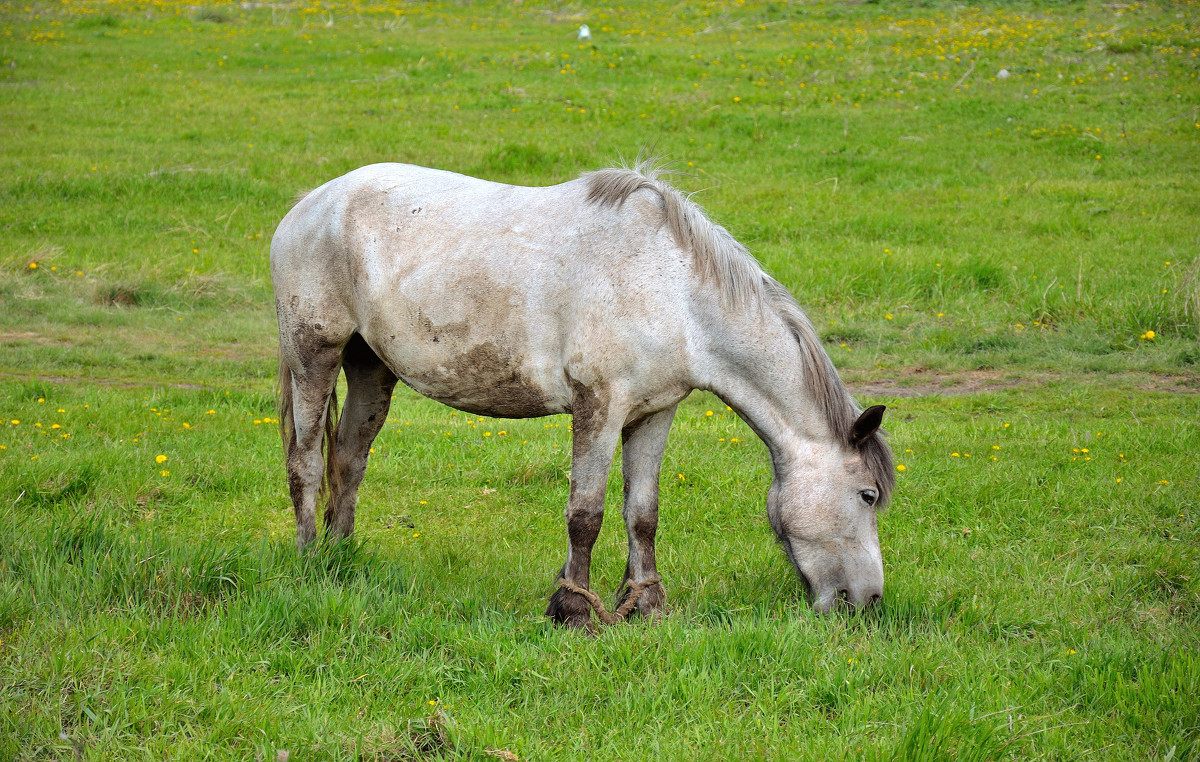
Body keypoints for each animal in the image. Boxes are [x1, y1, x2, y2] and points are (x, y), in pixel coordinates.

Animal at [272, 159, 892, 624]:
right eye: (867, 495)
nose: (866, 602)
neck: (673, 291)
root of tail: (309, 205)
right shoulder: (599, 407)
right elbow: (585, 514)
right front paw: (572, 609)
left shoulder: (654, 412)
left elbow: (643, 512)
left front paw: (645, 604)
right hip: (314, 354)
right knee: (306, 460)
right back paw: (308, 563)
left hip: (371, 367)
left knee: (349, 458)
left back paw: (342, 556)